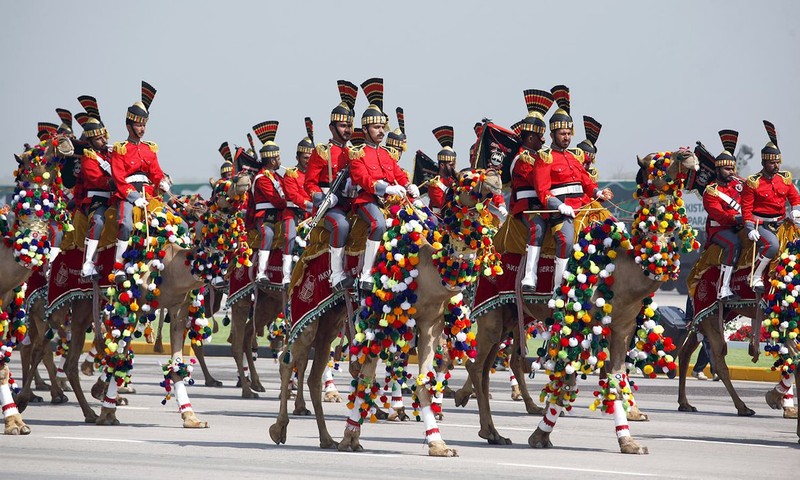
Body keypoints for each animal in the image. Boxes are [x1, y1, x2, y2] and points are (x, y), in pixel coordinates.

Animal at [272, 170, 504, 458]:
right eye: (466, 178)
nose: (495, 177)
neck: (426, 265)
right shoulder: (378, 318)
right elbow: (365, 376)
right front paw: (351, 438)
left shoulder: (431, 323)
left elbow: (423, 382)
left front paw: (438, 444)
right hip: (306, 305)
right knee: (290, 360)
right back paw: (279, 430)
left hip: (331, 317)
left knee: (314, 372)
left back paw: (326, 439)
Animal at [462, 149, 700, 454]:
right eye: (653, 162)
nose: (688, 155)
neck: (625, 265)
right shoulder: (582, 320)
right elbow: (569, 376)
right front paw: (540, 435)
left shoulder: (622, 326)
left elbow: (615, 375)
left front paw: (629, 441)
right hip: (491, 310)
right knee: (477, 365)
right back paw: (488, 428)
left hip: (508, 317)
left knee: (488, 366)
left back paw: (491, 430)